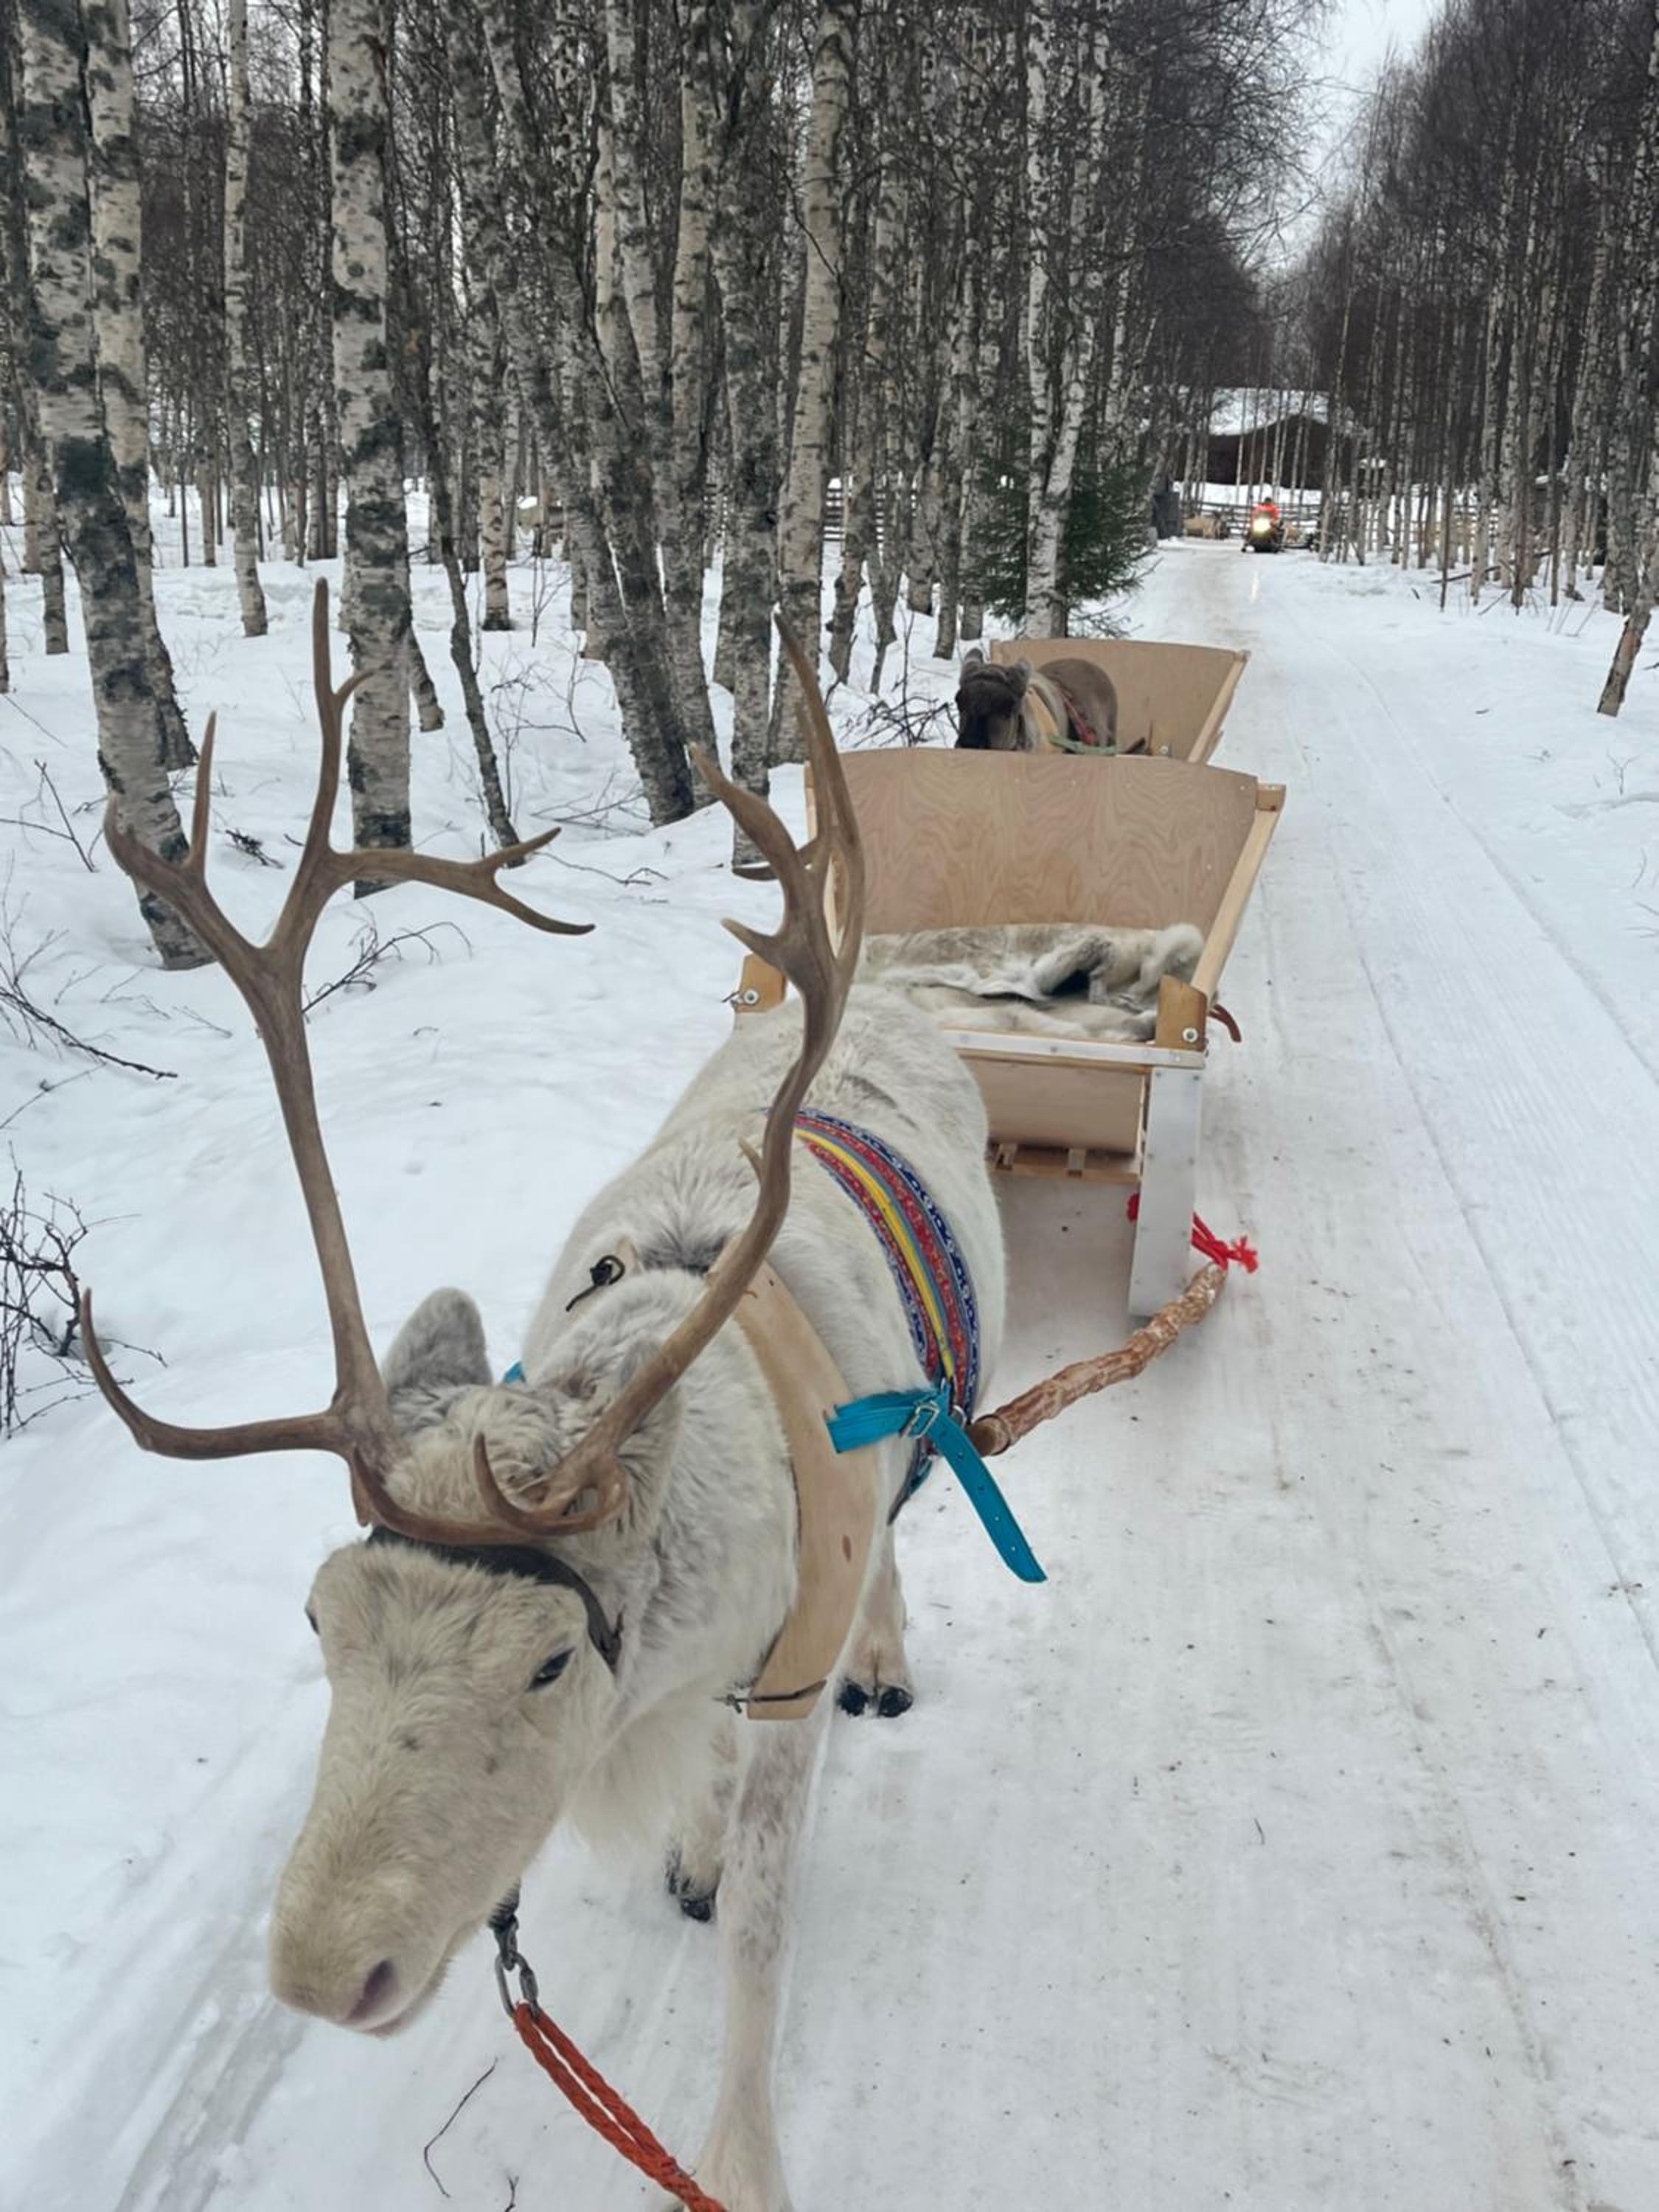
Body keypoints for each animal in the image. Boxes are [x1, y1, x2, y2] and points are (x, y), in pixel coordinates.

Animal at [78, 583, 1005, 2212]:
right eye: (319, 1618)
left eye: (548, 1662)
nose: (322, 1976)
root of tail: (892, 985)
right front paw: (689, 1855)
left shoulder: (785, 1670)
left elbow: (761, 1941)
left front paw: (742, 2163)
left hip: (939, 1411)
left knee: (913, 1504)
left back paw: (888, 1659)